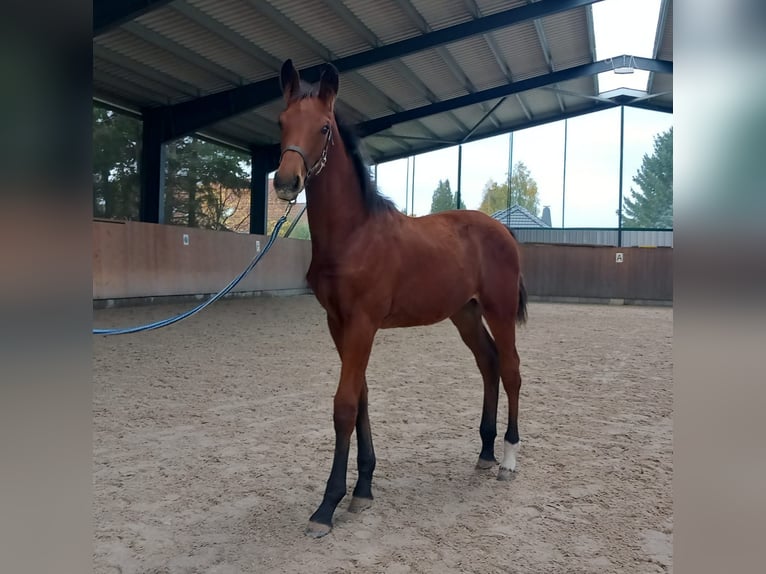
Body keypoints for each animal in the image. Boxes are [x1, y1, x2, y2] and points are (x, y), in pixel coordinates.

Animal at [274, 59, 528, 540]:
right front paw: (363, 489)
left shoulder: (362, 323)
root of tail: (502, 229)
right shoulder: (338, 323)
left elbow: (344, 405)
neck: (355, 235)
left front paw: (327, 506)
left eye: (323, 127)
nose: (284, 181)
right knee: (487, 363)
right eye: (281, 122)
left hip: (499, 309)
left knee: (510, 370)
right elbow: (361, 397)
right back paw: (485, 452)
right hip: (465, 314)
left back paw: (507, 459)